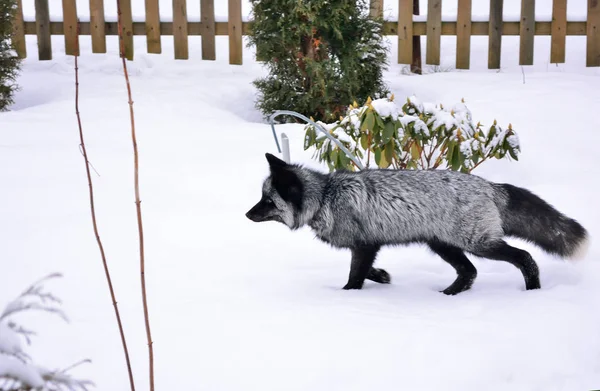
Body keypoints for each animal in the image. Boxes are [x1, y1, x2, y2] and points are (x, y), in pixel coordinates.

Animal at [246, 153, 588, 294]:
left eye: (268, 201)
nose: (247, 215)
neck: (327, 196)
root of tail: (490, 186)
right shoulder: (370, 244)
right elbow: (367, 269)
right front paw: (382, 277)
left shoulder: (365, 244)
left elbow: (356, 274)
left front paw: (348, 296)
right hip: (442, 244)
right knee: (469, 272)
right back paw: (448, 295)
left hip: (478, 244)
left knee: (524, 257)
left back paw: (533, 291)